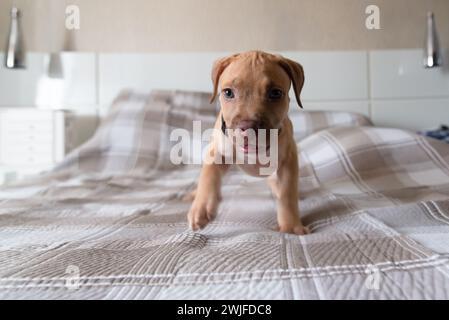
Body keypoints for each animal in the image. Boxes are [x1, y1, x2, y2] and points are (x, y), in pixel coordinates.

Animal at [186, 50, 308, 235]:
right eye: (228, 92)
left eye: (275, 93)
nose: (248, 127)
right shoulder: (217, 153)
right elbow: (208, 176)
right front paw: (201, 208)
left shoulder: (288, 160)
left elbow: (287, 192)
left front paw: (291, 226)